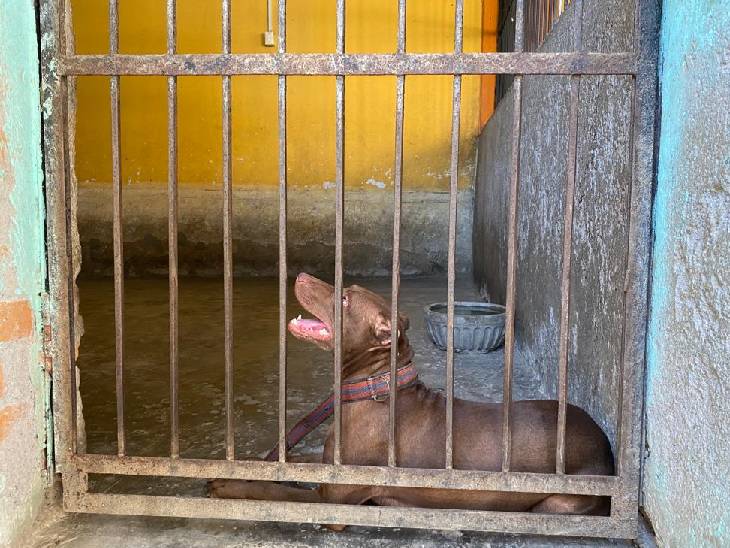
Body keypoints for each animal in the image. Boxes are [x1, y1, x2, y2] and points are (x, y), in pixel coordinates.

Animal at [208, 273, 614, 524]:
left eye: (345, 298)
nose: (302, 275)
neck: (375, 385)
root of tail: (607, 448)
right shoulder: (327, 461)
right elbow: (285, 464)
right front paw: (242, 464)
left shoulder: (332, 500)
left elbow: (272, 490)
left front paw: (226, 485)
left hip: (560, 502)